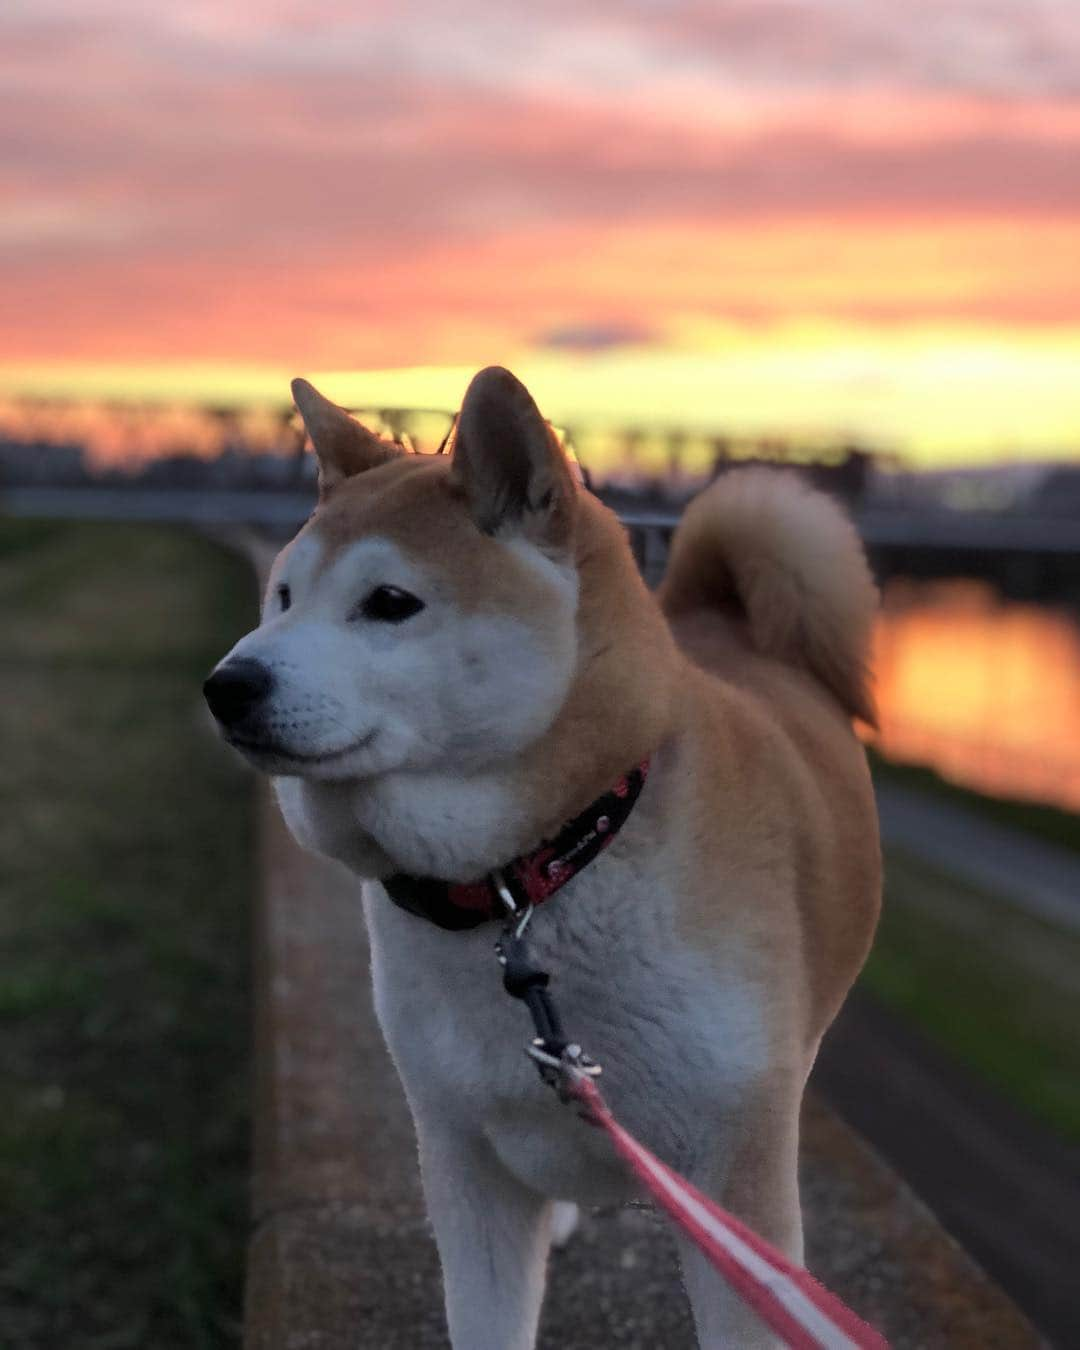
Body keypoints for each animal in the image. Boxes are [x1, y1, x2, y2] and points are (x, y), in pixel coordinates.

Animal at [206, 367, 880, 1350]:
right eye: (284, 597)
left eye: (390, 603)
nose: (227, 685)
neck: (533, 877)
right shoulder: (464, 1158)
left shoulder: (732, 1175)